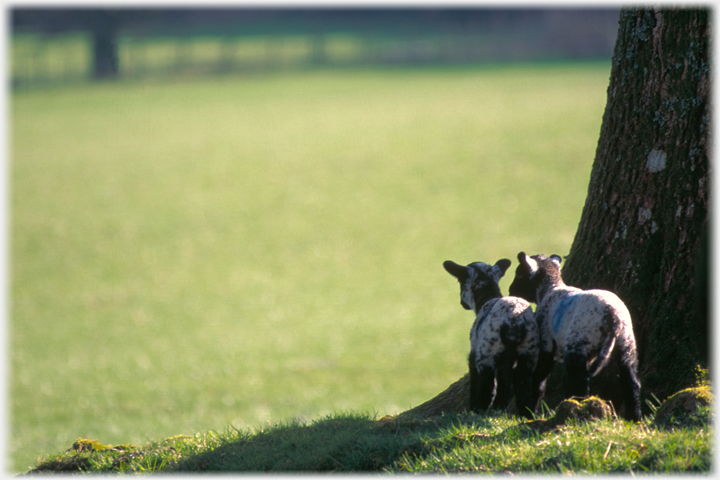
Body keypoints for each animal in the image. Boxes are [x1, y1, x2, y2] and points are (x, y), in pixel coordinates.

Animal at [444, 256, 540, 418]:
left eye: (461, 282)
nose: (462, 304)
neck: (487, 298)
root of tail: (513, 323)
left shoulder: (474, 355)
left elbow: (477, 383)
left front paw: (474, 409)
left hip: (487, 352)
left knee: (487, 387)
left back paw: (480, 411)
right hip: (528, 351)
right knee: (521, 385)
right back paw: (525, 414)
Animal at [506, 251, 640, 420]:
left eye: (519, 274)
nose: (511, 290)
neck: (550, 289)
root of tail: (613, 319)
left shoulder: (546, 342)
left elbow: (539, 379)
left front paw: (532, 411)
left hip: (577, 342)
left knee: (579, 381)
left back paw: (578, 410)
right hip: (626, 343)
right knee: (630, 381)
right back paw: (634, 418)